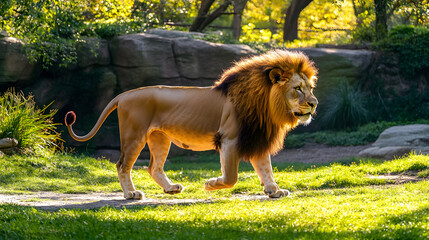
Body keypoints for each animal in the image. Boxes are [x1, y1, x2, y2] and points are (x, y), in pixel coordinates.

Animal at [64, 48, 318, 199]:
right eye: (298, 89)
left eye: (310, 88)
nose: (314, 103)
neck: (267, 106)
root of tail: (123, 95)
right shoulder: (229, 139)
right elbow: (231, 177)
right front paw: (211, 184)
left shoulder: (255, 136)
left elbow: (266, 168)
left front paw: (274, 190)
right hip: (134, 135)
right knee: (122, 165)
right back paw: (131, 194)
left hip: (159, 138)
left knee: (153, 167)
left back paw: (170, 188)